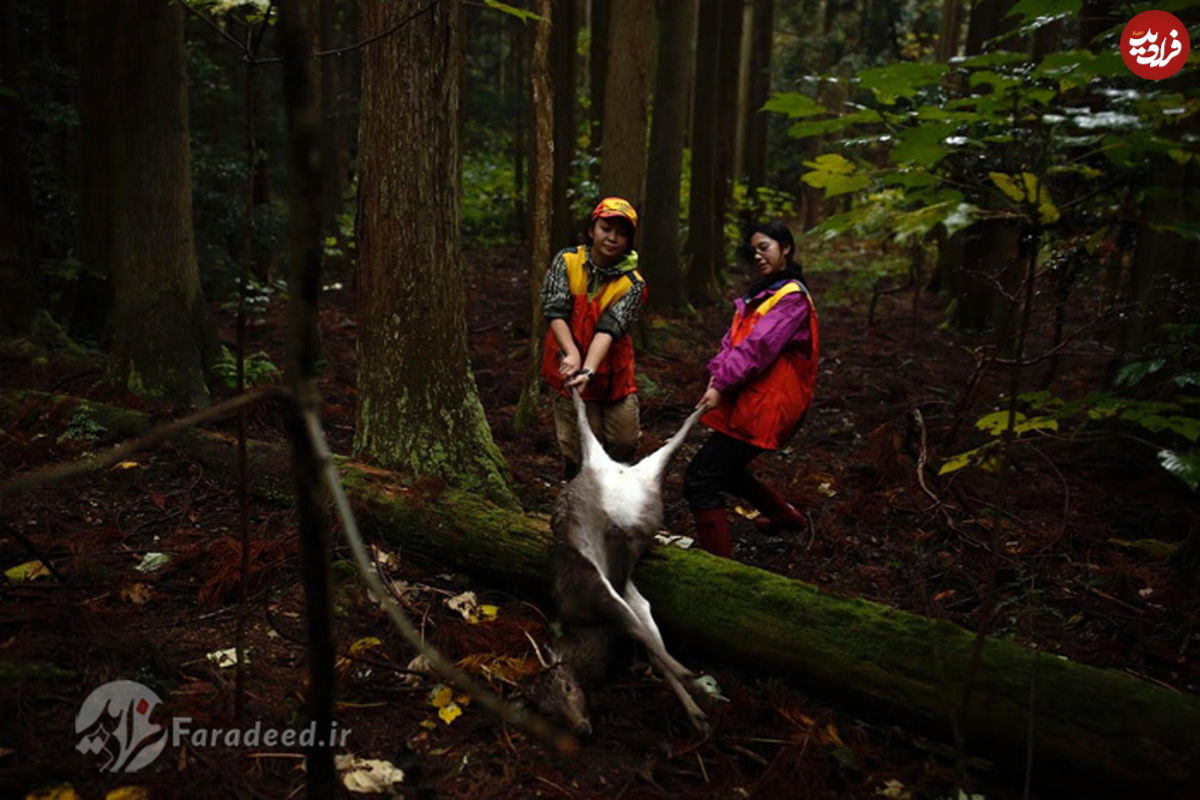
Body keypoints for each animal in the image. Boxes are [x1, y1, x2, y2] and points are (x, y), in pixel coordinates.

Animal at [532, 388, 710, 738]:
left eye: (567, 687)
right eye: (548, 713)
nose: (581, 729)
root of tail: (611, 469)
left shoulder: (595, 588)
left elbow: (645, 638)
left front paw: (693, 692)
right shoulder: (631, 593)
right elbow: (651, 638)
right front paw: (697, 715)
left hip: (591, 569)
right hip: (650, 473)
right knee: (677, 435)